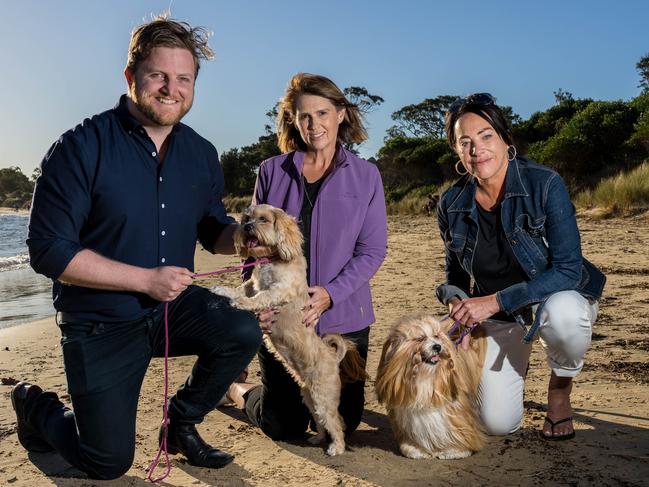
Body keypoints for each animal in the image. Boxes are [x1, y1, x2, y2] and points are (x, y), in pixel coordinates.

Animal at [374, 314, 486, 460]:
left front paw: (455, 450)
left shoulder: (455, 411)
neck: (425, 378)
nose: (437, 346)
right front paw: (415, 449)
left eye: (436, 336)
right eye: (420, 338)